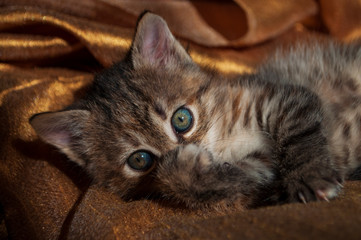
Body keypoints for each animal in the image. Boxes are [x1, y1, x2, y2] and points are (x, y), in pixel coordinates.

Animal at [29, 12, 358, 209]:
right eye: (140, 160)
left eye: (182, 119)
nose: (189, 148)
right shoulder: (260, 168)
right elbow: (220, 182)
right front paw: (185, 168)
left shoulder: (284, 97)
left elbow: (300, 135)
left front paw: (310, 176)